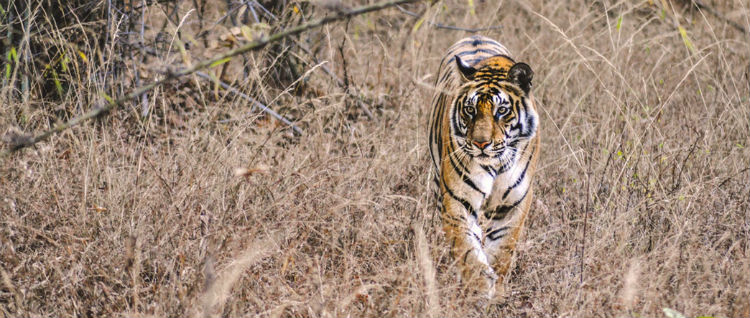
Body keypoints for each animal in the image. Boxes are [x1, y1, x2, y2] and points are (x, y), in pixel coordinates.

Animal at [428, 36, 540, 302]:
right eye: (470, 110)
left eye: (502, 111)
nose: (480, 143)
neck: (496, 164)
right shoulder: (457, 201)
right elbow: (467, 249)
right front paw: (479, 287)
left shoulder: (514, 204)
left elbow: (502, 250)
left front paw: (496, 290)